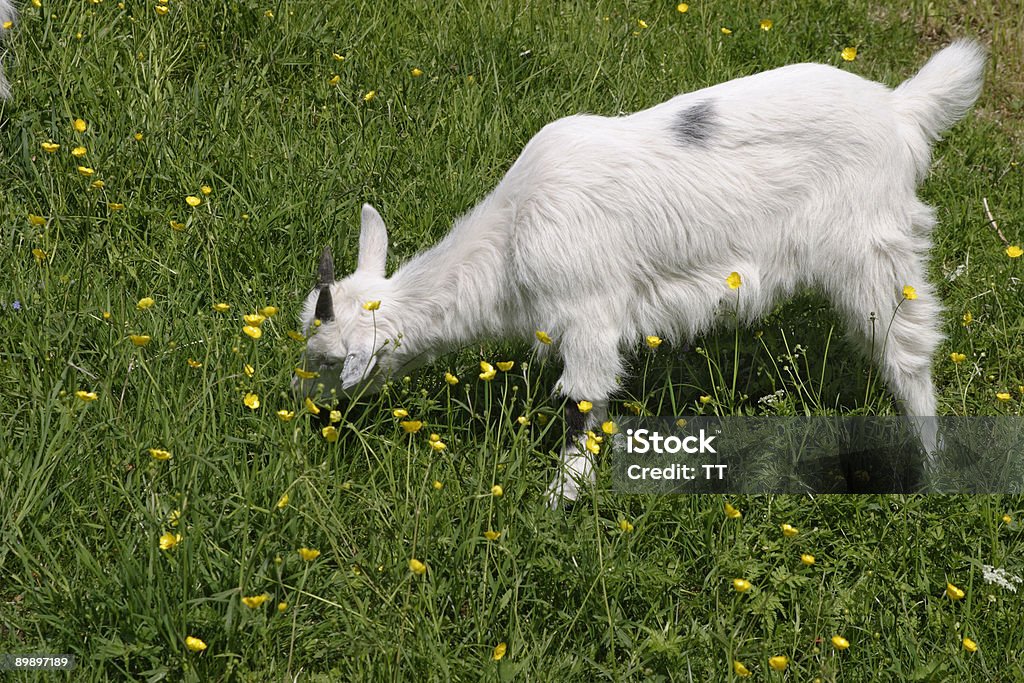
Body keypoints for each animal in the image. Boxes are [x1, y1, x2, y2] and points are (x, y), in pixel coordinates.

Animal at [294, 38, 983, 507]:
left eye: (328, 361)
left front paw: (560, 499)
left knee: (908, 351)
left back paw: (931, 471)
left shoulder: (589, 313)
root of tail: (900, 109)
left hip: (874, 248)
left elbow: (583, 403)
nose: (309, 411)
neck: (512, 239)